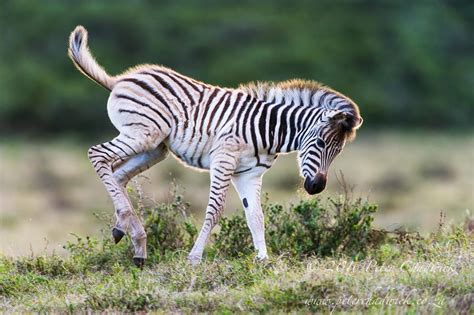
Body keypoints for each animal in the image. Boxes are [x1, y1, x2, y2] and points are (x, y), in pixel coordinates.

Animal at [66, 25, 362, 268]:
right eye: (321, 142)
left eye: (338, 152)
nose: (316, 187)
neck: (269, 129)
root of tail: (119, 80)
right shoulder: (224, 160)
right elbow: (215, 210)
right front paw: (195, 258)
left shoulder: (249, 174)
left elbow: (256, 217)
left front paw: (264, 261)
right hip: (142, 134)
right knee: (98, 155)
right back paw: (133, 231)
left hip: (154, 147)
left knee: (117, 173)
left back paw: (129, 235)